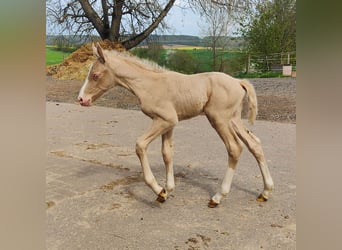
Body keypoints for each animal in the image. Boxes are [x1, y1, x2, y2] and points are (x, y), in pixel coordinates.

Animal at [79, 43, 274, 207]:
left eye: (95, 75)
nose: (81, 99)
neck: (149, 84)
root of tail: (238, 82)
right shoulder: (169, 124)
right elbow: (167, 153)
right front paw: (168, 189)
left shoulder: (165, 120)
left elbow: (140, 145)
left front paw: (159, 190)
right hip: (233, 119)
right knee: (254, 143)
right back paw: (265, 192)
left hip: (219, 119)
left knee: (235, 148)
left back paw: (218, 197)